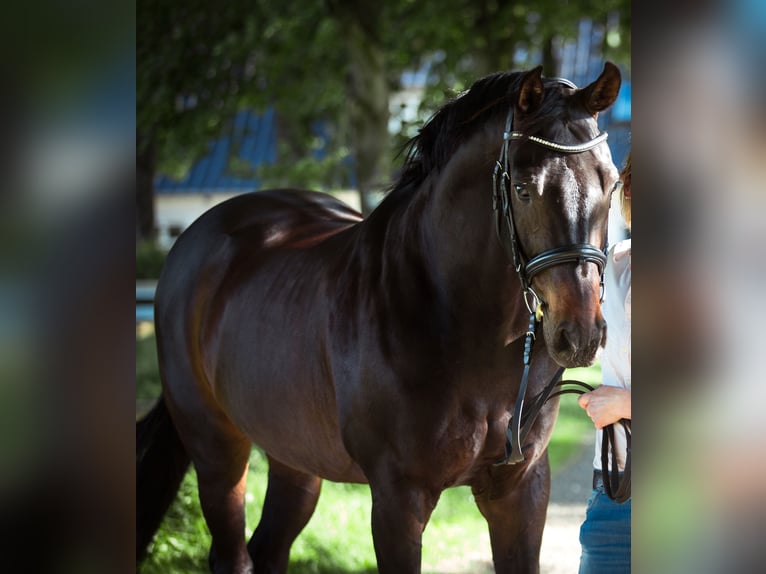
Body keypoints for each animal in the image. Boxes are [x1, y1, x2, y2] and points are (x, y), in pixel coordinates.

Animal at [137, 62, 622, 574]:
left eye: (611, 184)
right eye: (524, 189)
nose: (580, 333)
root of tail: (194, 240)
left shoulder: (521, 490)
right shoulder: (397, 499)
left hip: (295, 458)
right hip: (217, 450)